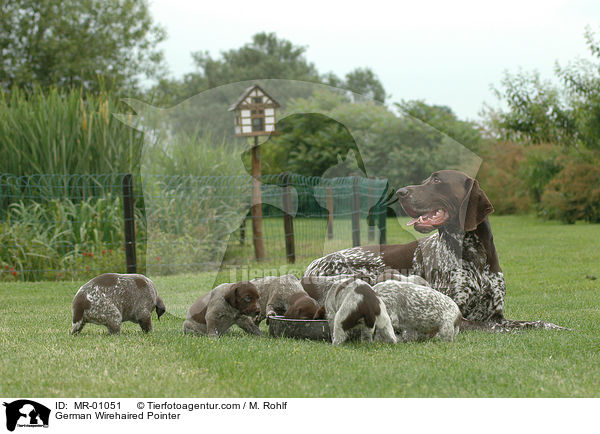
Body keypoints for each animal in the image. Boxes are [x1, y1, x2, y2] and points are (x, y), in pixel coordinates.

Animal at [304, 170, 564, 332]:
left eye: (437, 181)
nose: (400, 192)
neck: (474, 256)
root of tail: (310, 267)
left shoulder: (497, 313)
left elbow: (533, 323)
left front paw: (555, 326)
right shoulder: (460, 314)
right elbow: (494, 327)